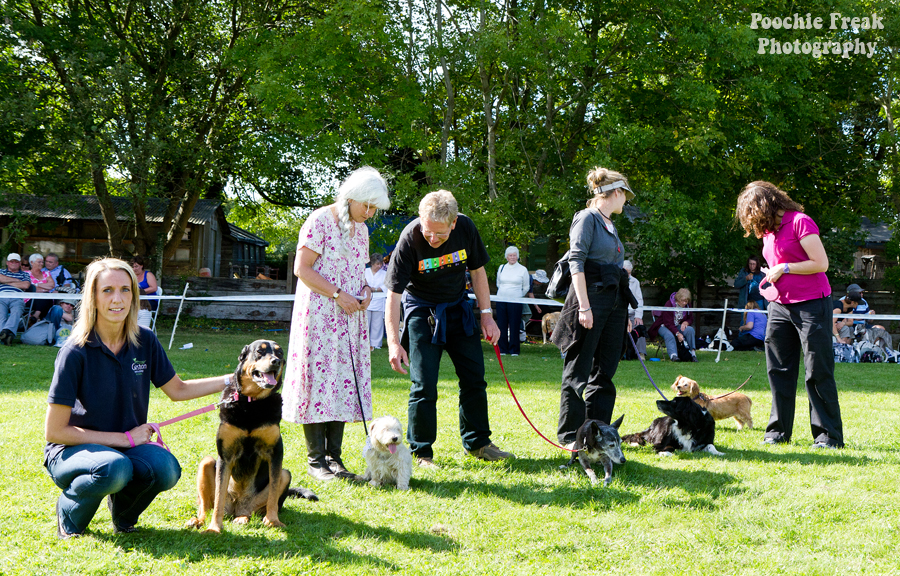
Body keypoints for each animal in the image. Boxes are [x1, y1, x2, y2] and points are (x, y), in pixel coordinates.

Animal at [186, 340, 316, 532]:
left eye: (280, 353)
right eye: (259, 352)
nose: (276, 361)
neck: (251, 403)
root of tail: (236, 507)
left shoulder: (275, 453)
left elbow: (272, 497)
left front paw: (273, 521)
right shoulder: (225, 455)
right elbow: (218, 498)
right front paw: (214, 528)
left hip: (284, 475)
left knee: (256, 509)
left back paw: (244, 518)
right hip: (206, 463)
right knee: (206, 505)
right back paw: (198, 521)